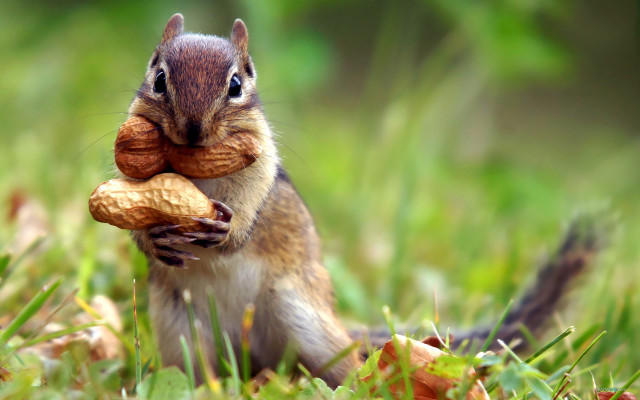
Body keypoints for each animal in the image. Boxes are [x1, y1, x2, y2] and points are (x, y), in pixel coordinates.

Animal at [125, 14, 606, 388]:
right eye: (159, 78)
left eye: (236, 84)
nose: (192, 131)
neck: (195, 170)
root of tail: (250, 356)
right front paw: (153, 240)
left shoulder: (261, 171)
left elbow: (249, 208)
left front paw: (228, 231)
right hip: (180, 333)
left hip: (305, 321)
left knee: (347, 368)